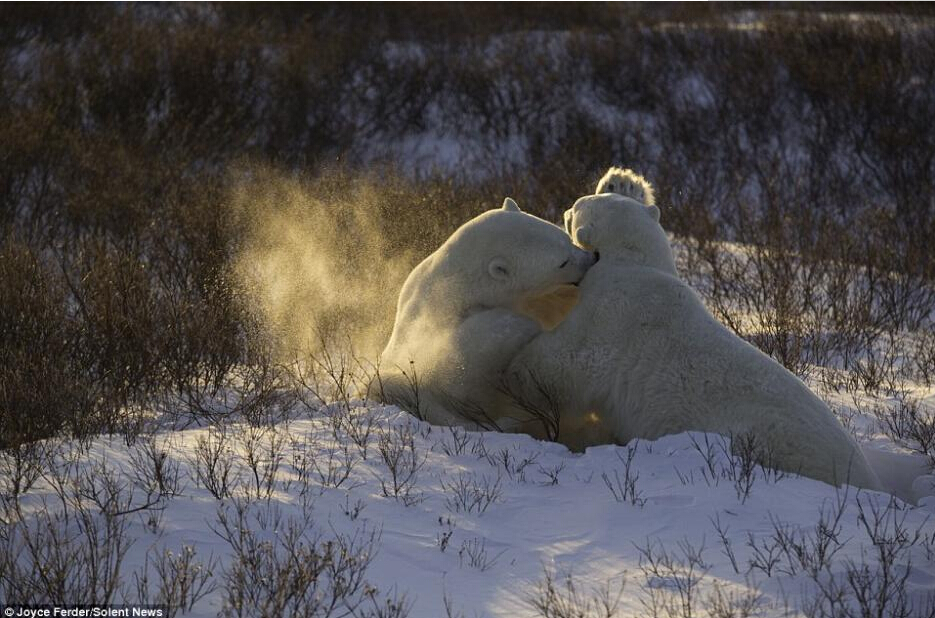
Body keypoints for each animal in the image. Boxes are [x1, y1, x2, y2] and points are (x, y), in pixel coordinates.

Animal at [380, 197, 600, 428]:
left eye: (567, 238)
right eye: (562, 263)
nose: (593, 257)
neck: (463, 285)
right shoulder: (441, 326)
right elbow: (464, 360)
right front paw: (526, 326)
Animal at [508, 168, 880, 486]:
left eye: (575, 209)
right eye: (587, 199)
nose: (568, 206)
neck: (633, 261)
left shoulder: (612, 314)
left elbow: (566, 361)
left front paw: (512, 372)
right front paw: (622, 181)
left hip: (769, 440)